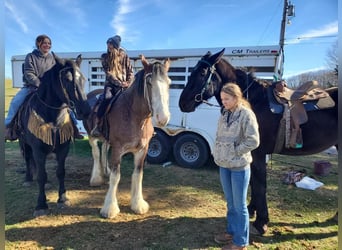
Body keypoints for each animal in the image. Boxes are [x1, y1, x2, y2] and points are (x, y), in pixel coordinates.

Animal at [15, 53, 91, 217]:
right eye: (67, 79)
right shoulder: (38, 150)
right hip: (24, 142)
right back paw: (28, 179)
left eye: (83, 79)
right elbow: (41, 176)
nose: (85, 111)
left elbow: (60, 172)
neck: (52, 117)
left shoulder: (63, 148)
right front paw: (41, 205)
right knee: (28, 159)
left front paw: (62, 199)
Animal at [83, 55, 171, 219]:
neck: (134, 116)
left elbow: (138, 175)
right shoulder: (118, 149)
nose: (163, 118)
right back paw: (96, 178)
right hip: (91, 136)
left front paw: (138, 204)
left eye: (169, 83)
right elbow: (116, 177)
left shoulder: (142, 150)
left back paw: (105, 171)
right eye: (149, 82)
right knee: (96, 153)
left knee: (104, 149)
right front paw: (110, 208)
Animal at [178, 48, 338, 234]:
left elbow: (260, 184)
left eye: (202, 72)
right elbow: (253, 183)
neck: (254, 102)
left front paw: (261, 221)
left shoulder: (259, 153)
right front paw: (252, 210)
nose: (183, 103)